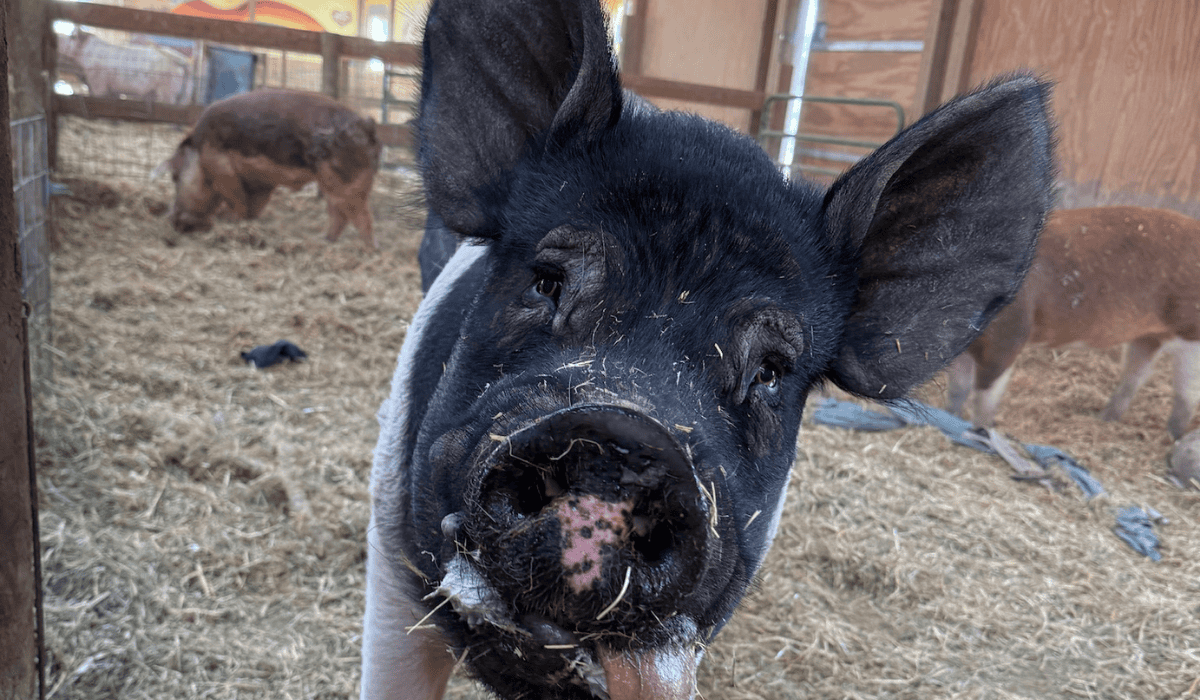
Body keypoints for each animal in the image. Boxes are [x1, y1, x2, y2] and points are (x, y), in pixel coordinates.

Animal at [157, 89, 381, 248]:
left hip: (346, 183)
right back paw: (324, 241)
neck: (200, 156)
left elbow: (237, 202)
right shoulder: (261, 182)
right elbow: (252, 208)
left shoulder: (223, 170)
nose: (172, 220)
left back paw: (368, 251)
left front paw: (231, 225)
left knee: (361, 218)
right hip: (333, 185)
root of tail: (367, 126)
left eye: (175, 177)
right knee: (340, 216)